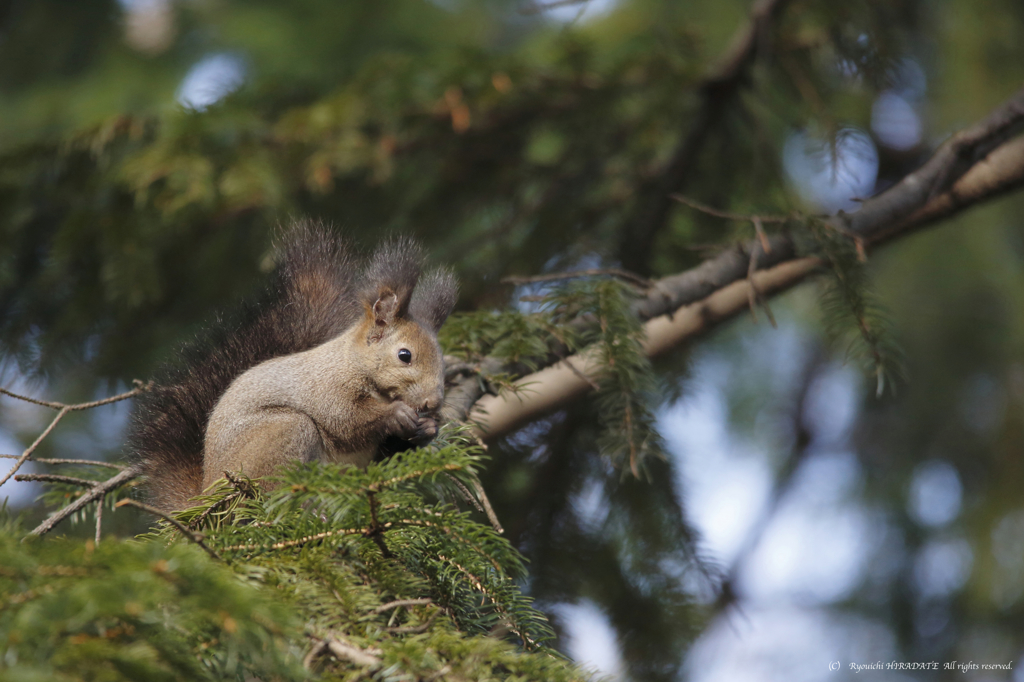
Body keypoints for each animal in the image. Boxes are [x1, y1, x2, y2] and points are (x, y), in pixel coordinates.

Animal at [129, 222, 460, 509]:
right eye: (405, 355)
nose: (433, 403)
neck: (351, 363)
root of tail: (207, 494)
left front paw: (428, 428)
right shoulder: (327, 387)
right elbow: (346, 419)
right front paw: (397, 414)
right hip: (282, 434)